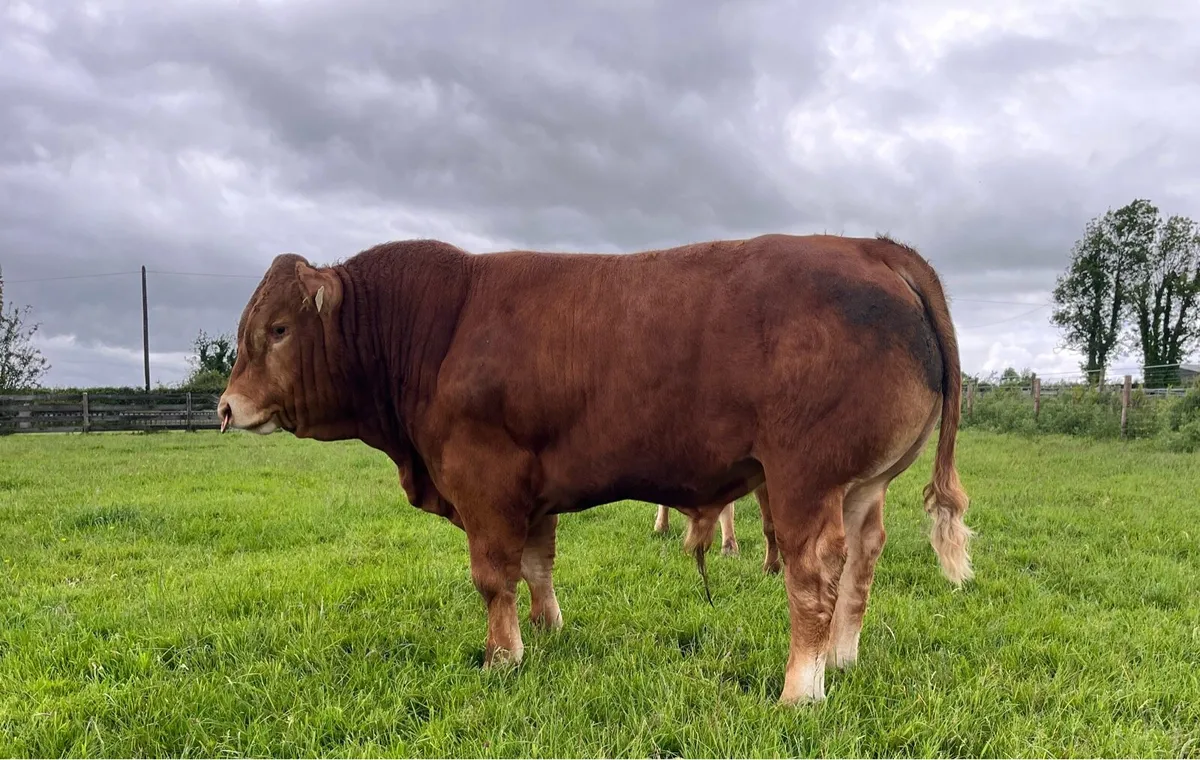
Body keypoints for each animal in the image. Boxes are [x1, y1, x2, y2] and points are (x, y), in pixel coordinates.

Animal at [217, 232, 973, 705]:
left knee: (814, 573)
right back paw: (842, 659)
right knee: (862, 565)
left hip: (803, 479)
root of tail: (868, 247)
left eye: (278, 329)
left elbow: (493, 577)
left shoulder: (484, 481)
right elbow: (537, 564)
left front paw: (502, 657)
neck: (437, 329)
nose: (226, 407)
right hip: (860, 485)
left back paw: (801, 690)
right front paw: (548, 630)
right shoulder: (531, 490)